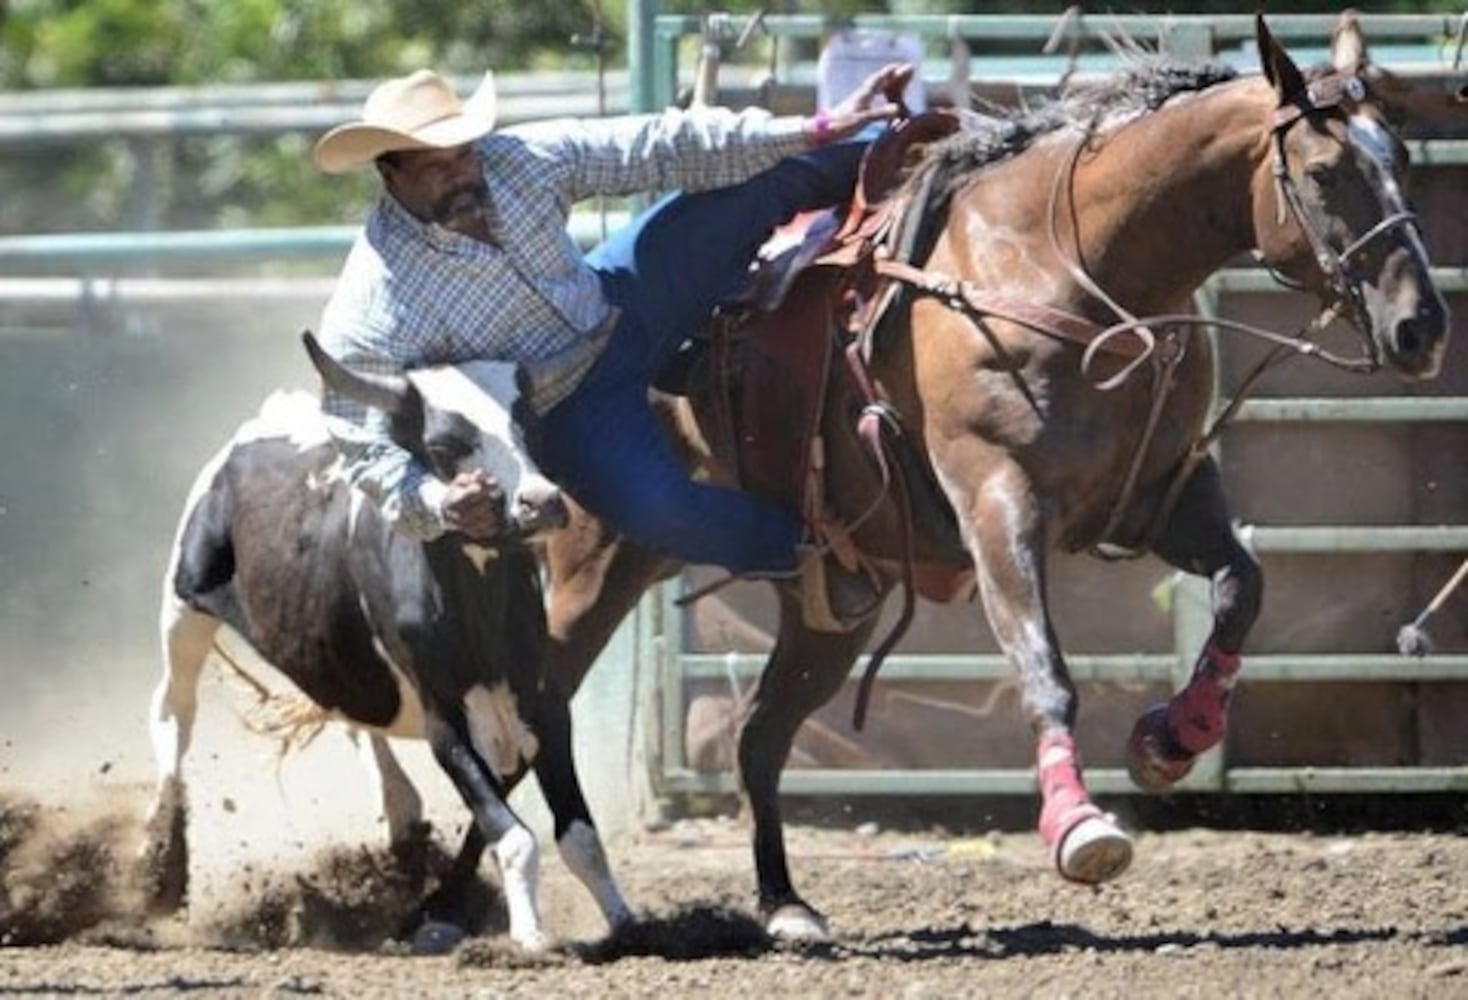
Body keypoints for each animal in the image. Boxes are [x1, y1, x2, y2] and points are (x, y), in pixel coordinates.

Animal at [537, 11, 1444, 939]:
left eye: (1402, 157)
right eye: (1325, 171)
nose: (1422, 326)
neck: (1066, 264)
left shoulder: (1162, 496)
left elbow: (1242, 587)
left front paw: (1173, 737)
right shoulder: (997, 500)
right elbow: (1044, 668)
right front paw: (1079, 826)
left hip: (832, 607)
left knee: (757, 732)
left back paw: (784, 902)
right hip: (594, 563)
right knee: (536, 707)